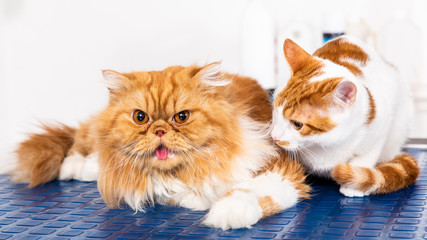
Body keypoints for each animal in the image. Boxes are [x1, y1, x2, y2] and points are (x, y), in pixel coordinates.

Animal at [11, 62, 310, 230]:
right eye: (140, 117)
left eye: (182, 117)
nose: (159, 130)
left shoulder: (280, 165)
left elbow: (250, 191)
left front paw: (226, 213)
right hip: (91, 136)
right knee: (80, 146)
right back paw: (74, 168)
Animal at [272, 36, 420, 197]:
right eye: (276, 112)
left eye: (297, 124)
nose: (274, 137)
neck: (323, 144)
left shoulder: (381, 126)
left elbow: (364, 158)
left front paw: (353, 185)